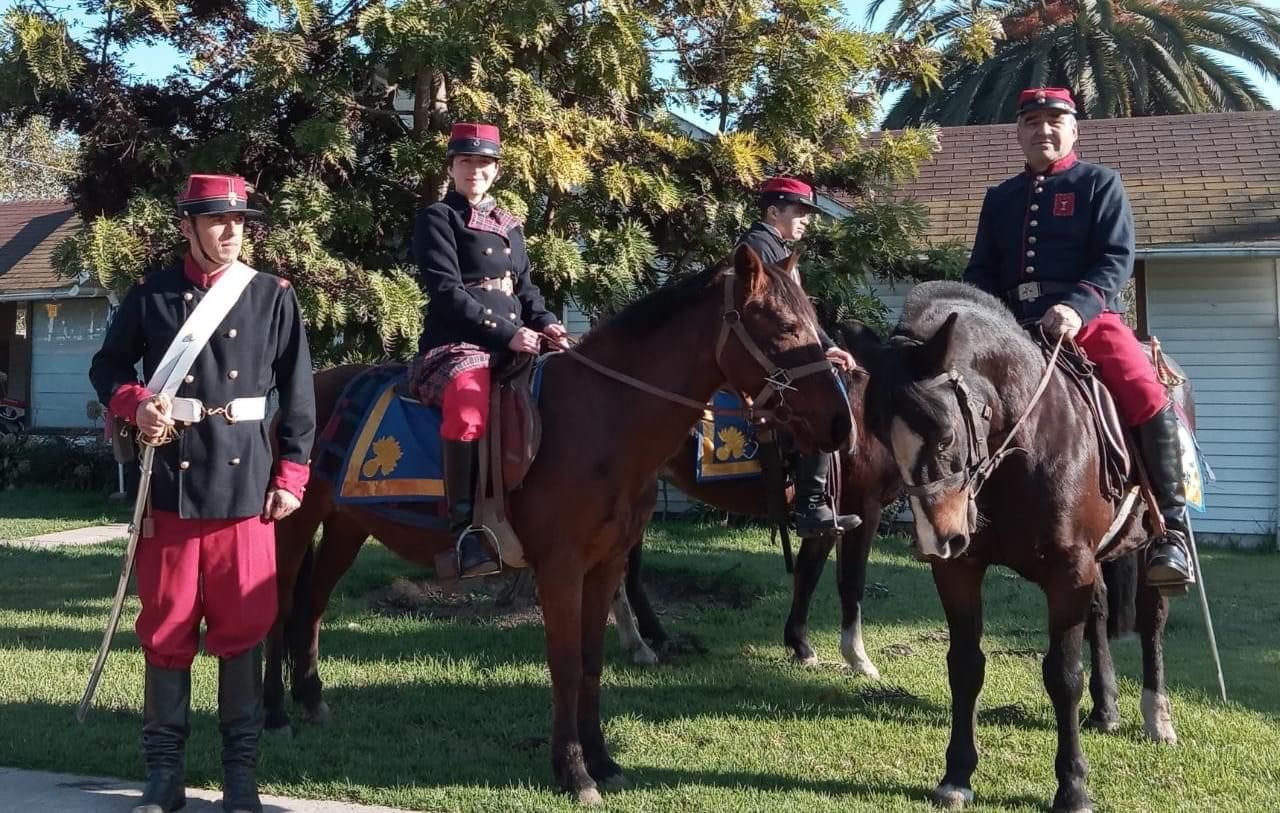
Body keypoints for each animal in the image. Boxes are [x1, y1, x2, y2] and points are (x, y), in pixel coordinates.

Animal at [264, 249, 855, 809]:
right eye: (784, 326)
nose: (840, 424)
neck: (603, 418)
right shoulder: (561, 568)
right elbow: (566, 665)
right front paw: (573, 772)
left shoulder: (606, 564)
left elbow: (592, 662)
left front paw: (603, 761)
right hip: (291, 527)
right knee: (283, 610)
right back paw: (276, 717)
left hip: (345, 528)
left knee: (312, 607)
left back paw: (312, 700)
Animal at [614, 316, 906, 676]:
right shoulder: (865, 509)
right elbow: (851, 581)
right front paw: (858, 658)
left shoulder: (829, 519)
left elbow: (808, 573)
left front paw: (800, 645)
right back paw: (640, 645)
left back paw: (652, 638)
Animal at [865, 281, 1182, 813]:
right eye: (883, 439)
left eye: (945, 435)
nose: (936, 540)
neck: (1027, 445)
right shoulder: (961, 570)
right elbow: (965, 666)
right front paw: (957, 774)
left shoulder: (1068, 573)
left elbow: (1063, 675)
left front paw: (1073, 787)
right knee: (1100, 613)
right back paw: (1106, 709)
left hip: (1146, 548)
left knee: (1152, 619)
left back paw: (1157, 717)